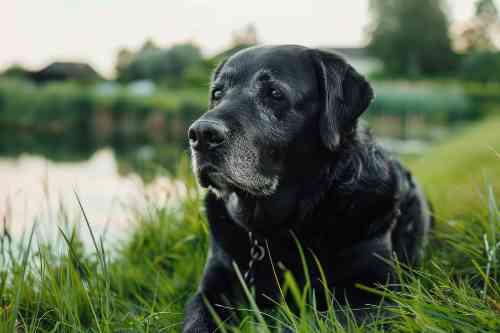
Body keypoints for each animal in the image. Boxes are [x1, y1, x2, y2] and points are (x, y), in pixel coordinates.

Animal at [182, 44, 432, 332]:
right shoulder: (211, 288)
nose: (201, 134)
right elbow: (197, 320)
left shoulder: (377, 294)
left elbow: (318, 321)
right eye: (217, 93)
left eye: (275, 93)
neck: (279, 227)